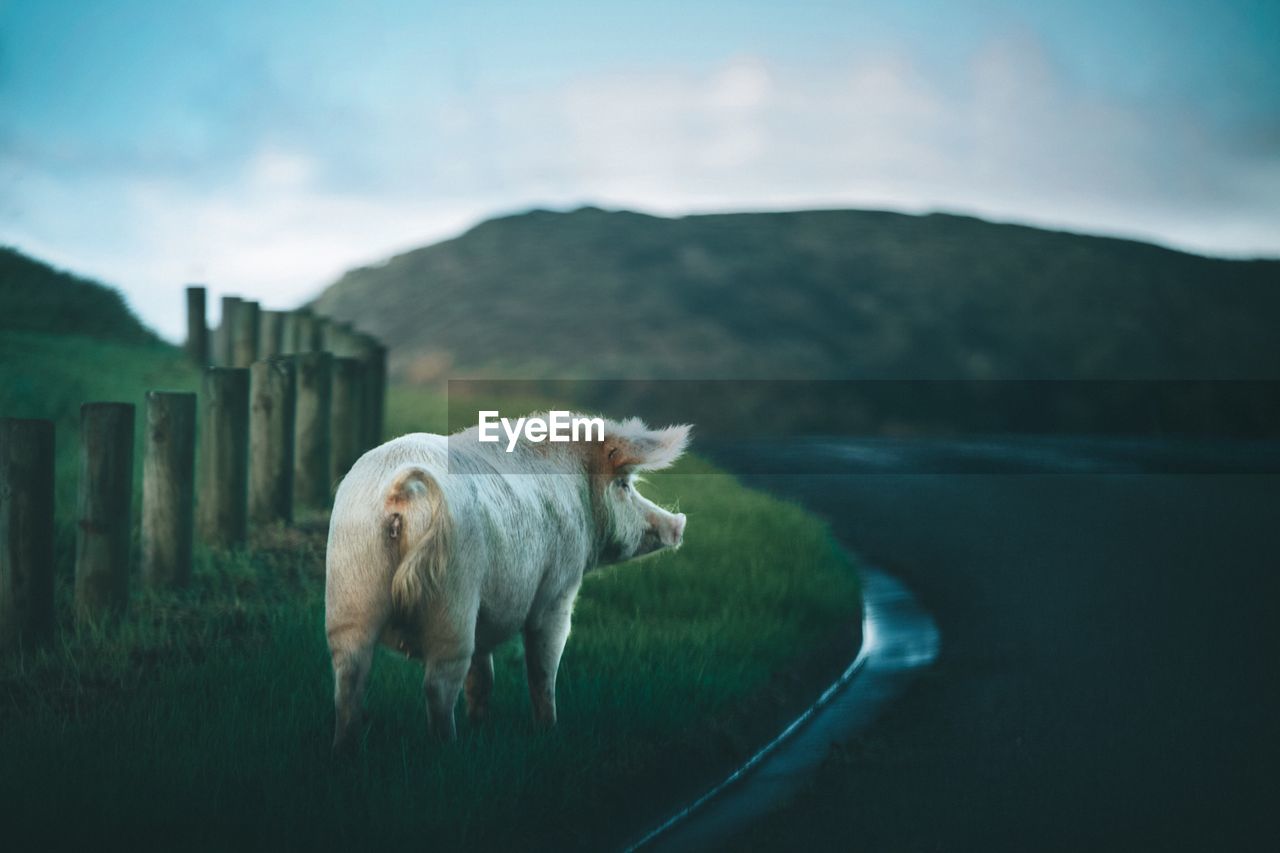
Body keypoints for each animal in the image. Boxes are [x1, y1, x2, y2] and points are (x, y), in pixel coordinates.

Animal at [327, 414, 691, 747]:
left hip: (351, 585)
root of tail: (401, 493)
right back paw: (448, 747)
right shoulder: (558, 588)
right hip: (453, 592)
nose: (679, 524)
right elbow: (542, 666)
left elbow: (482, 675)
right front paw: (548, 731)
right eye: (624, 486)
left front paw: (481, 726)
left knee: (350, 676)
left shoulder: (484, 617)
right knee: (438, 684)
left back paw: (346, 748)